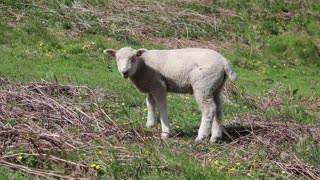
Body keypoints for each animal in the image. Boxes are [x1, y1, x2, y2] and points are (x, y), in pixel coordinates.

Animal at [103, 47, 238, 143]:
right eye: (117, 59)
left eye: (133, 58)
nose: (124, 72)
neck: (142, 66)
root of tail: (224, 62)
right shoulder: (150, 87)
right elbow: (150, 104)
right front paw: (150, 124)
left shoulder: (158, 85)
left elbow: (162, 108)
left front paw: (165, 133)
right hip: (215, 87)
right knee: (219, 108)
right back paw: (215, 137)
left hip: (203, 85)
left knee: (209, 109)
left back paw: (201, 136)